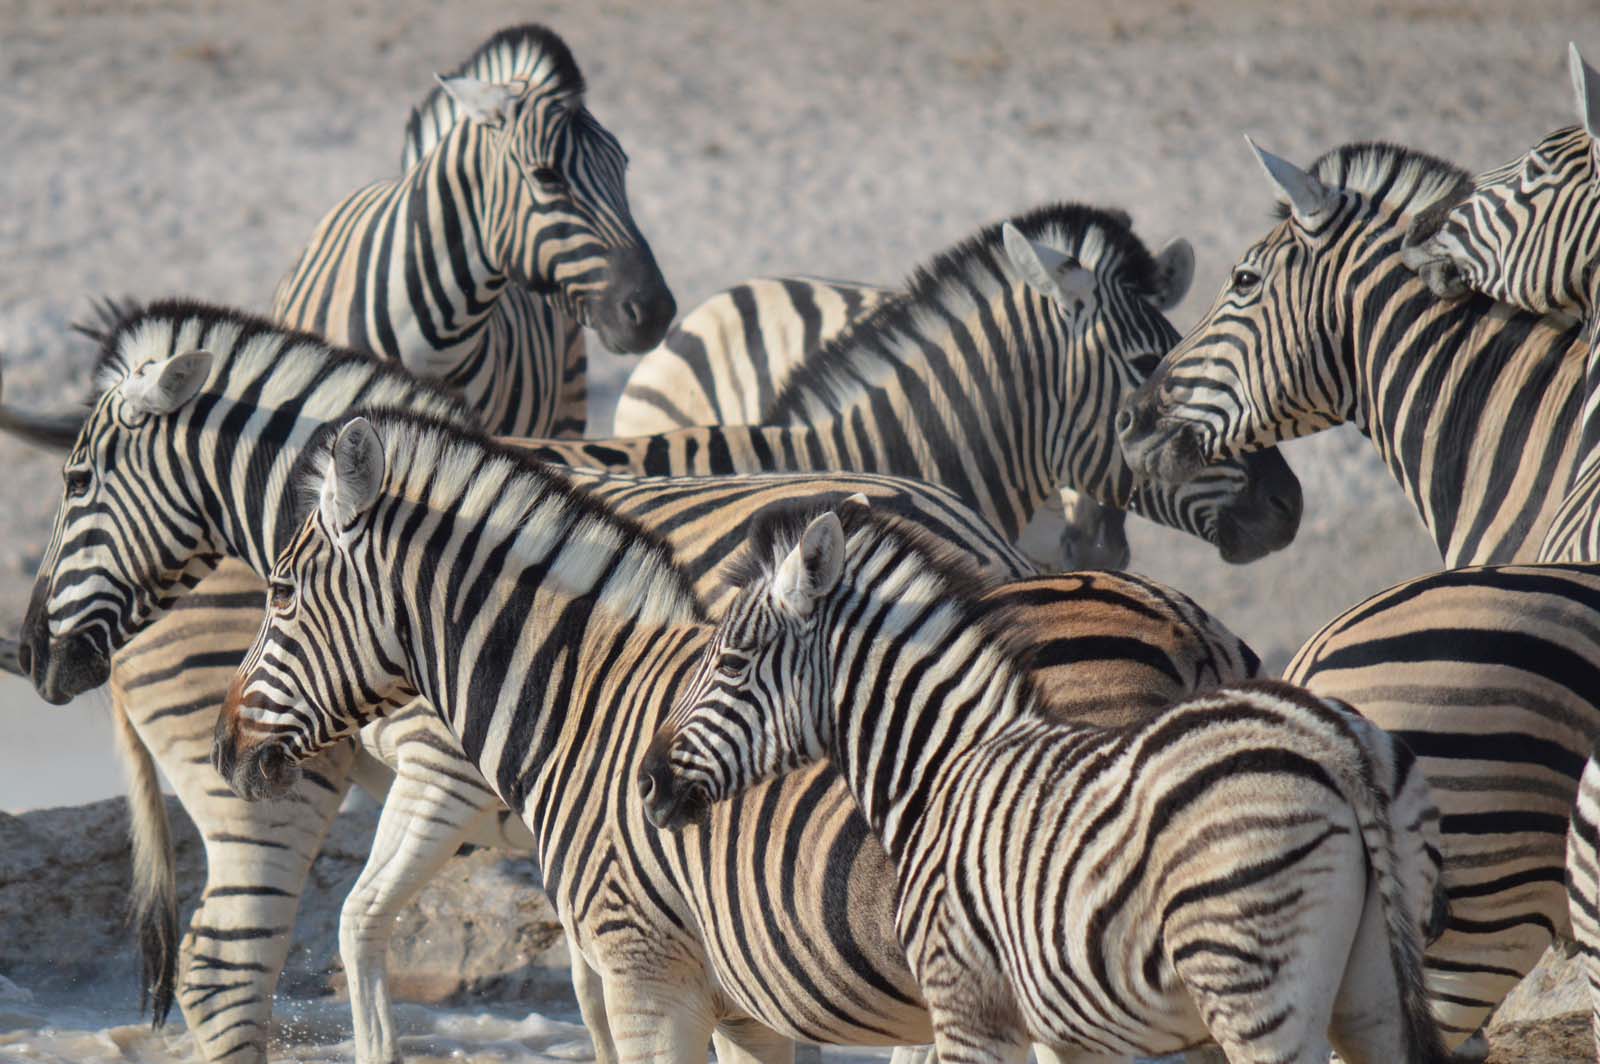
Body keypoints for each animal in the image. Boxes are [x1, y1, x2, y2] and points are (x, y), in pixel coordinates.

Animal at [639, 505, 1451, 1064]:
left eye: (733, 662)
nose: (647, 784)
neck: (940, 771)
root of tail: (1332, 742)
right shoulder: (1067, 1028)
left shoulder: (966, 1000)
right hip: (1376, 983)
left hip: (1251, 982)